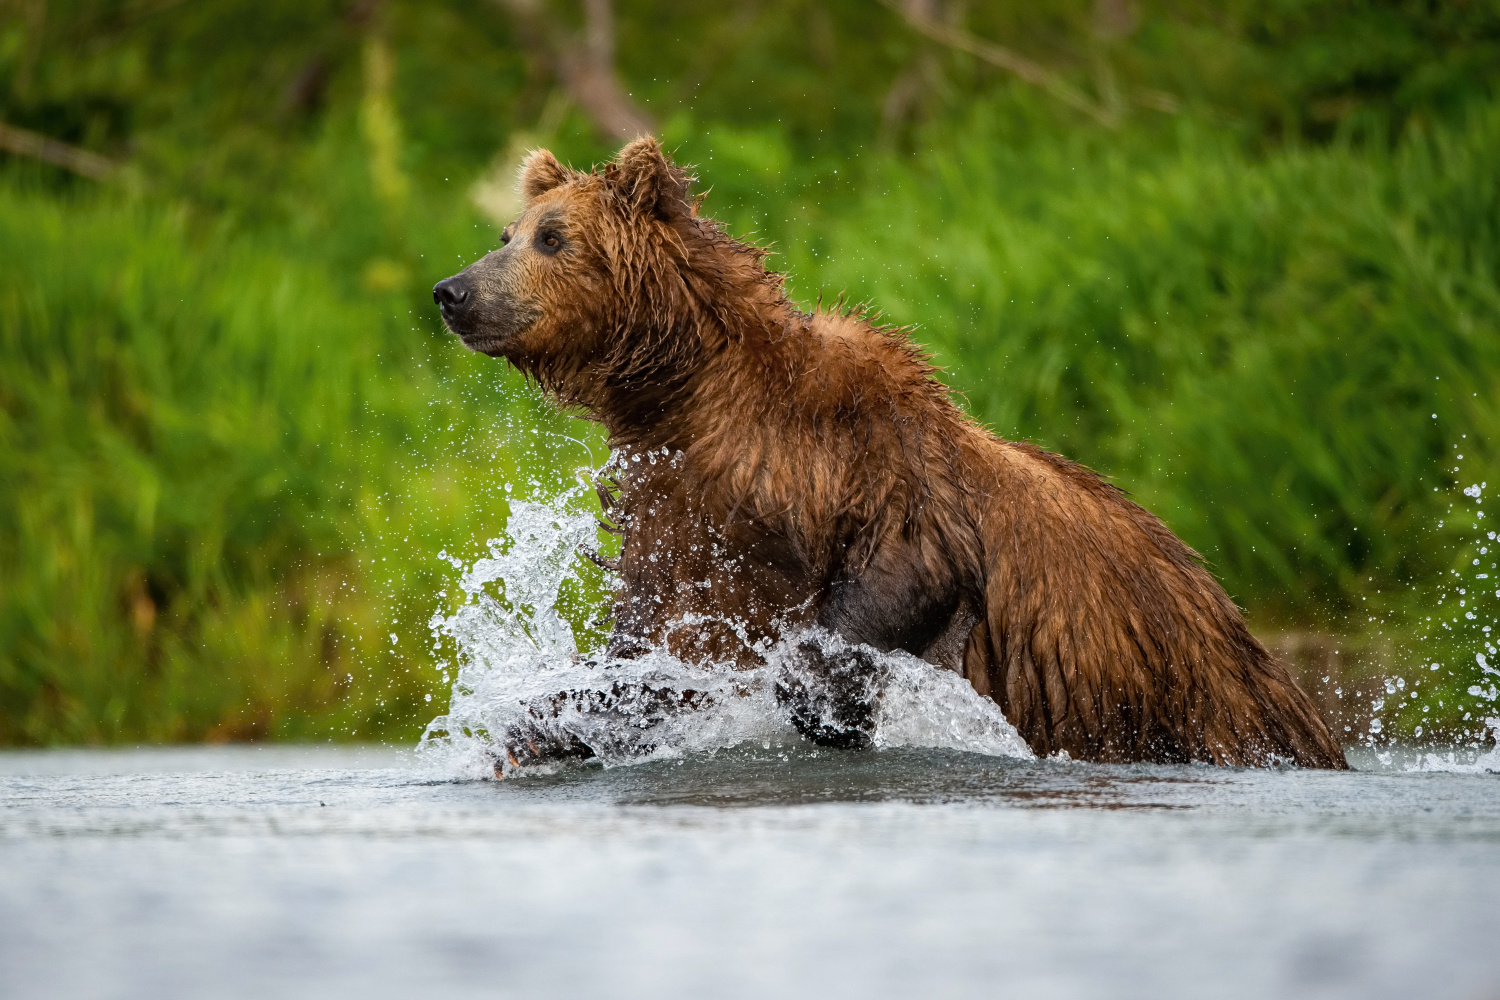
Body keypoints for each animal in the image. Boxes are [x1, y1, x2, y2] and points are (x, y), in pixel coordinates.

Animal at [435, 137, 1350, 773]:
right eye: (507, 231)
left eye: (553, 238)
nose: (453, 290)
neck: (697, 395)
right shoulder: (684, 508)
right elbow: (660, 642)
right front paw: (538, 729)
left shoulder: (869, 453)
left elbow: (904, 568)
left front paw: (826, 705)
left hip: (1178, 692)